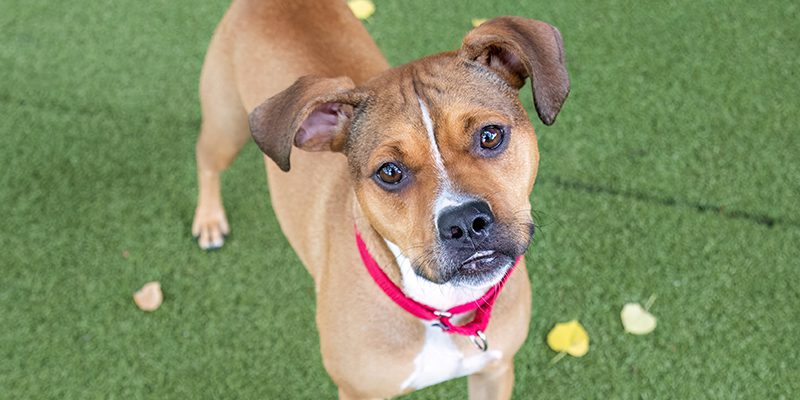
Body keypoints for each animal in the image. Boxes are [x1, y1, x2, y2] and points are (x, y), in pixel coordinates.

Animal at [193, 0, 568, 396]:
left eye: (491, 135)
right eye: (389, 172)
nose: (466, 222)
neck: (443, 308)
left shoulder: (494, 372)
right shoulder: (358, 392)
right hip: (226, 124)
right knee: (205, 159)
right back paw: (209, 220)